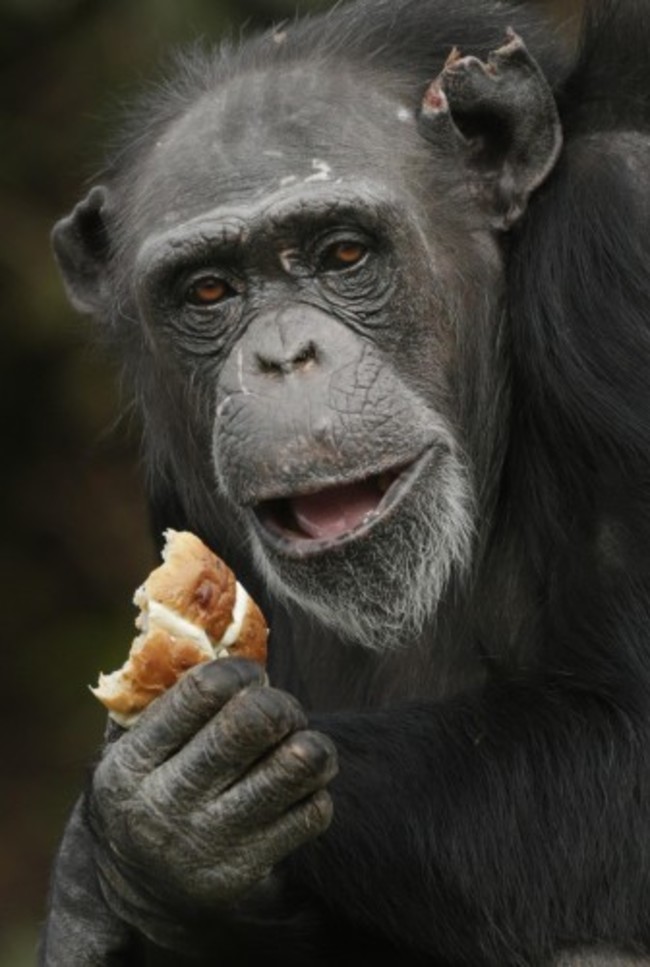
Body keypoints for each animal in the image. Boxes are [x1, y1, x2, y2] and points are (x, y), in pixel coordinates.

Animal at [39, 1, 648, 967]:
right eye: (208, 291)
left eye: (344, 253)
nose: (284, 354)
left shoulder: (617, 253)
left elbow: (631, 742)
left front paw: (135, 827)